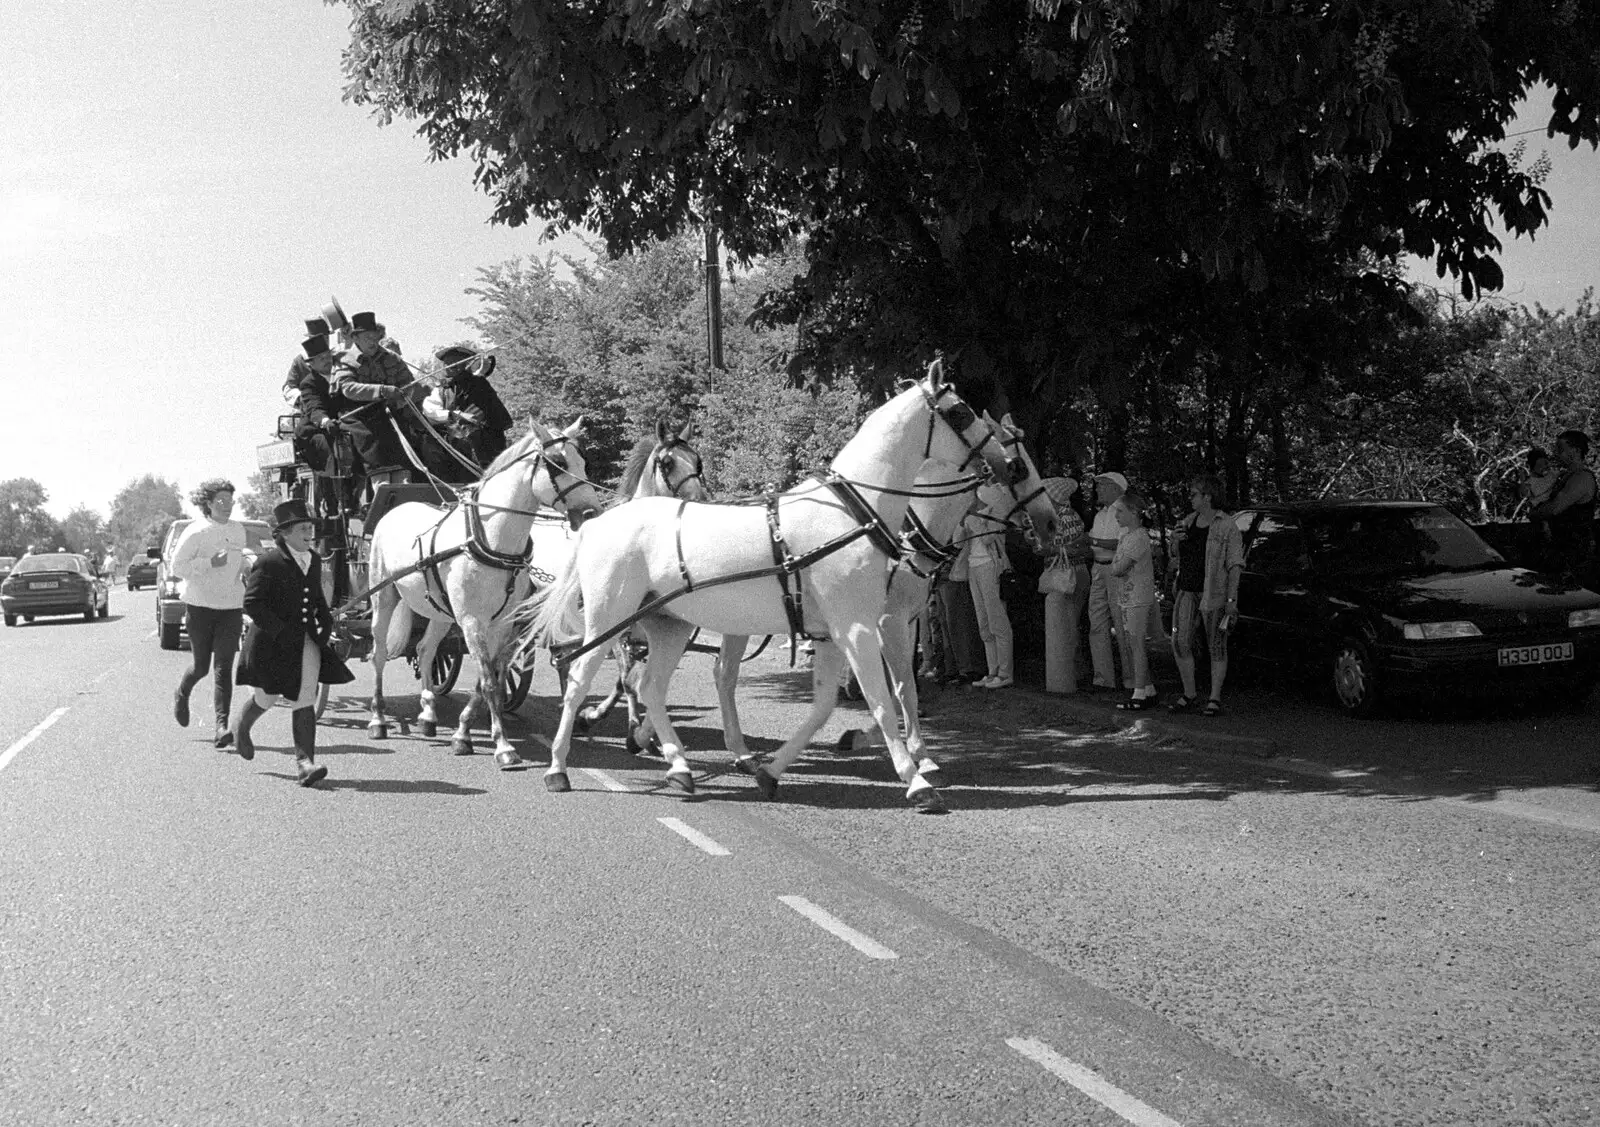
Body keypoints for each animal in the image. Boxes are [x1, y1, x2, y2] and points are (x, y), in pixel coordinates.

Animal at [366, 419, 601, 771]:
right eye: (558, 463)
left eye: (583, 462)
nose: (593, 513)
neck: (491, 539)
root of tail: (396, 509)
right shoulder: (471, 621)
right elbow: (488, 681)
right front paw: (503, 747)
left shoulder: (500, 624)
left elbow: (490, 677)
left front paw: (463, 733)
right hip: (384, 597)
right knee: (379, 653)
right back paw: (378, 719)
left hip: (438, 610)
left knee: (425, 650)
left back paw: (428, 714)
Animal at [521, 361, 1049, 810]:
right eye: (960, 412)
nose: (1008, 465)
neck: (858, 513)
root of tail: (596, 522)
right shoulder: (864, 625)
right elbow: (885, 698)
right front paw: (916, 779)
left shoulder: (836, 631)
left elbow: (828, 705)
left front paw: (772, 771)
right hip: (608, 620)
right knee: (580, 679)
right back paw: (559, 766)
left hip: (669, 625)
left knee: (650, 685)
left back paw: (680, 766)